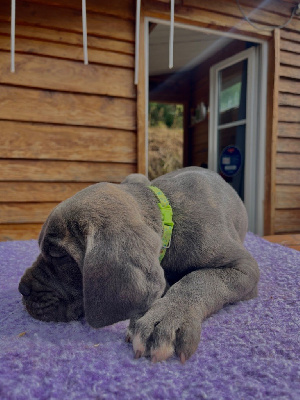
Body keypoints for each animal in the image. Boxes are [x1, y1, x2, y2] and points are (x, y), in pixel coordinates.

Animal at [18, 166, 258, 362]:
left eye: (59, 255)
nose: (22, 289)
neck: (170, 219)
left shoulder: (245, 267)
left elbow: (199, 279)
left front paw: (167, 315)